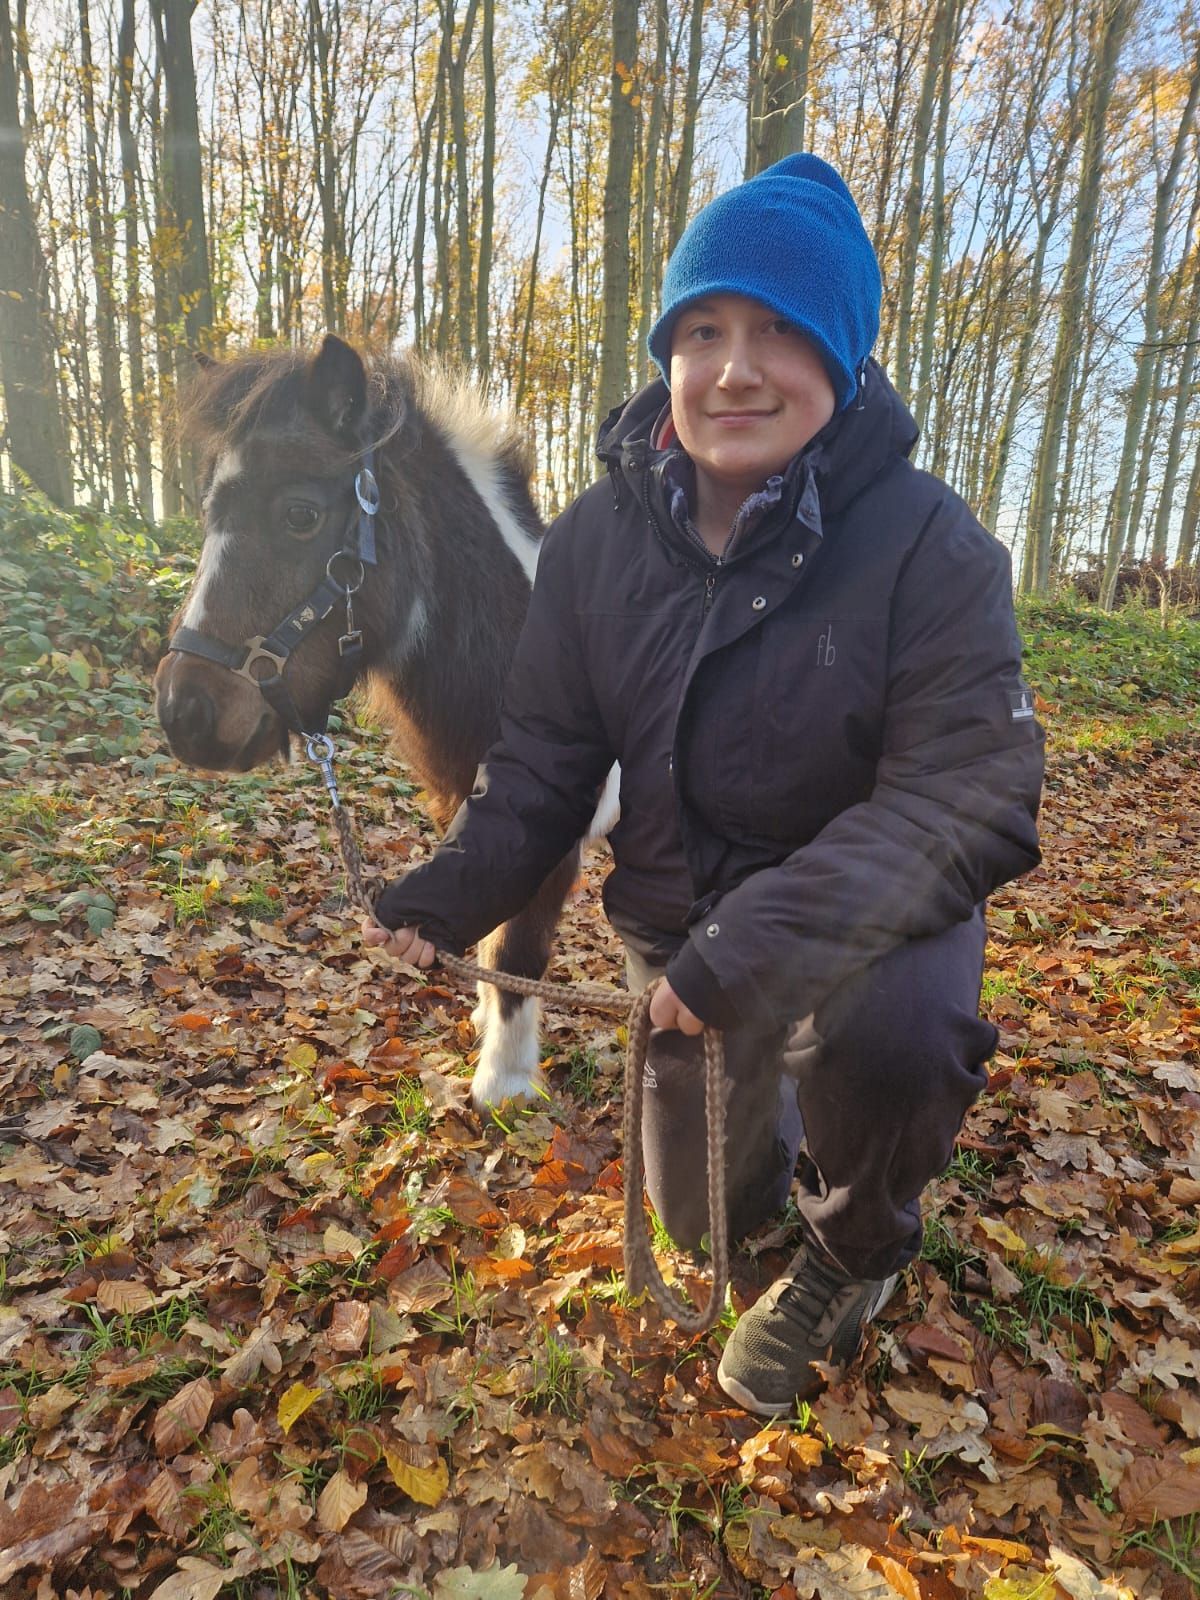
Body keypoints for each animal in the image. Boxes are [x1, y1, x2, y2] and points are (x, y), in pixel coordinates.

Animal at [155, 333, 618, 1108]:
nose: (183, 713)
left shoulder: (554, 837)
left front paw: (504, 1083)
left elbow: (518, 946)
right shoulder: (473, 813)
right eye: (208, 513)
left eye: (300, 515)